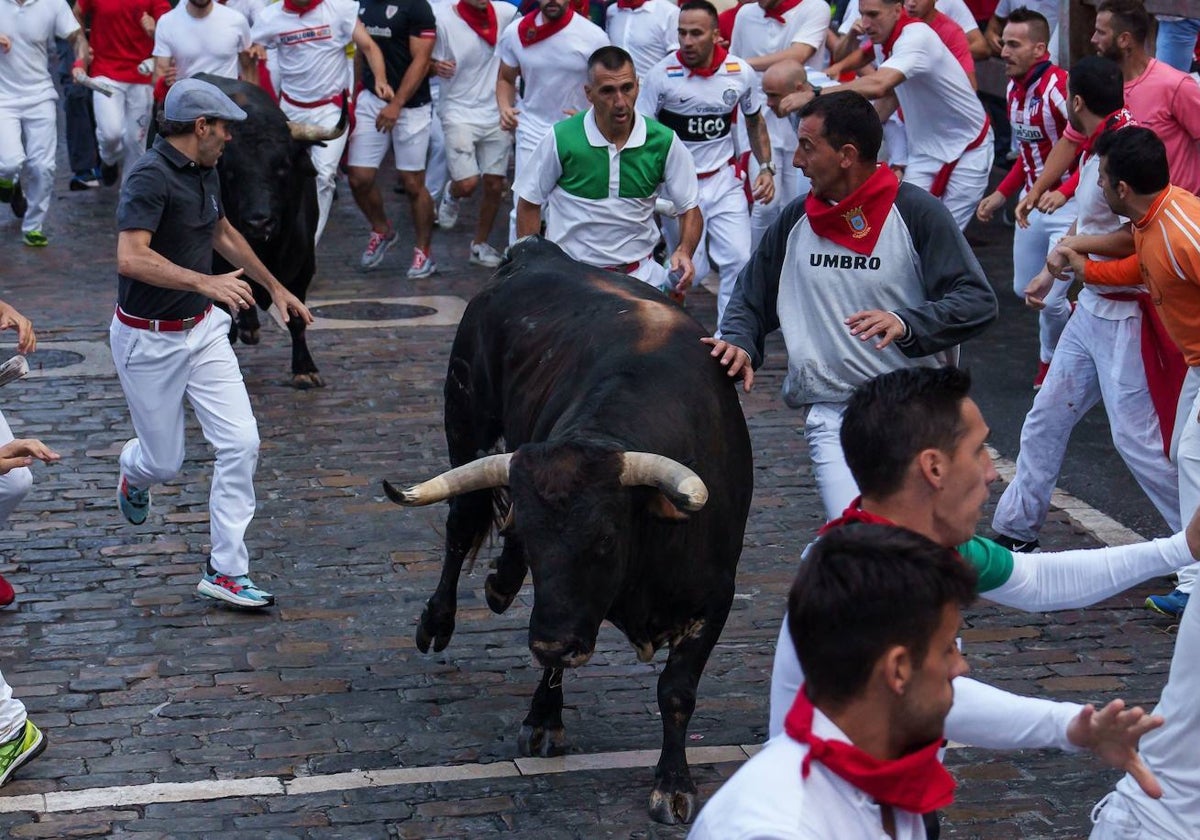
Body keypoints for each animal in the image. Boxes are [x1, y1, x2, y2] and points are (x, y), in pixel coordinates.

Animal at [196, 73, 328, 388]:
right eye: (230, 172)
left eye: (282, 167)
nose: (259, 223)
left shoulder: (304, 266)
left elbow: (296, 315)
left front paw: (305, 368)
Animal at [384, 237, 753, 825]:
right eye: (541, 548)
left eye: (604, 539)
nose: (550, 641)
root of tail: (535, 250)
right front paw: (543, 718)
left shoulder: (715, 597)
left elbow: (676, 690)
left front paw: (672, 783)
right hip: (465, 421)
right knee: (462, 525)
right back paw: (440, 619)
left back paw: (500, 584)